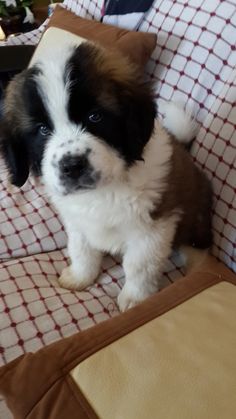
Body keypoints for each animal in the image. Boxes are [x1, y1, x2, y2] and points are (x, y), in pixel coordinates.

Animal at [0, 42, 213, 312]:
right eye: (43, 130)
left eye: (95, 117)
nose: (72, 166)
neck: (103, 191)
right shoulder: (77, 221)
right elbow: (81, 250)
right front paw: (80, 276)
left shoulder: (152, 228)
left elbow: (139, 266)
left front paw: (136, 298)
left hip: (196, 219)